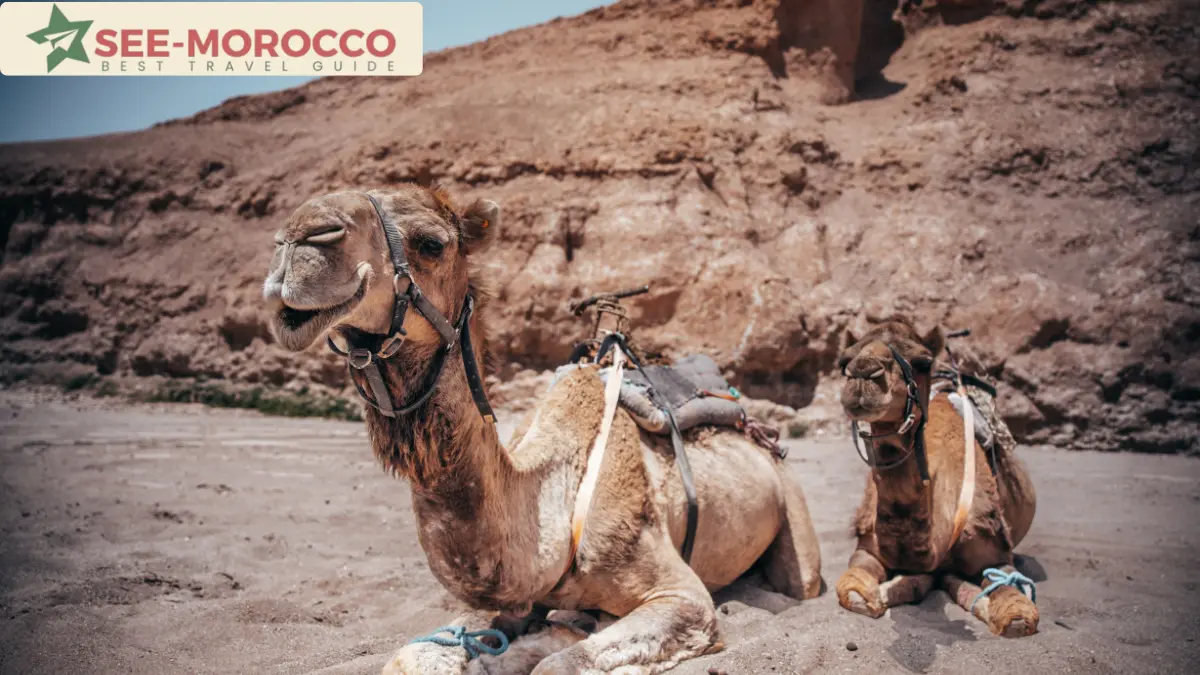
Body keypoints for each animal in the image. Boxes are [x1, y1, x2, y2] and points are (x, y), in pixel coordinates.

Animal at [262, 184, 822, 674]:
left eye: (431, 243)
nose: (297, 238)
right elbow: (413, 655)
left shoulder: (682, 596)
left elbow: (561, 662)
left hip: (795, 520)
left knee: (801, 582)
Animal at [834, 315, 1039, 637]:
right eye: (845, 361)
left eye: (922, 361)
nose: (864, 373)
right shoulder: (869, 546)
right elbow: (855, 589)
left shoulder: (994, 552)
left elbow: (1016, 612)